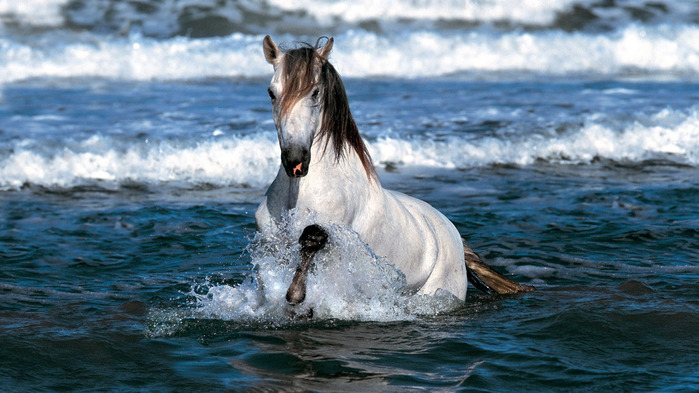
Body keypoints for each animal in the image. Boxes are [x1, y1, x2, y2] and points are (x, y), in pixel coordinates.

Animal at [258, 35, 536, 304]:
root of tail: (455, 236)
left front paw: (296, 296)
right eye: (271, 93)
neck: (299, 193)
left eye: (315, 92)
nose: (295, 160)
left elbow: (312, 237)